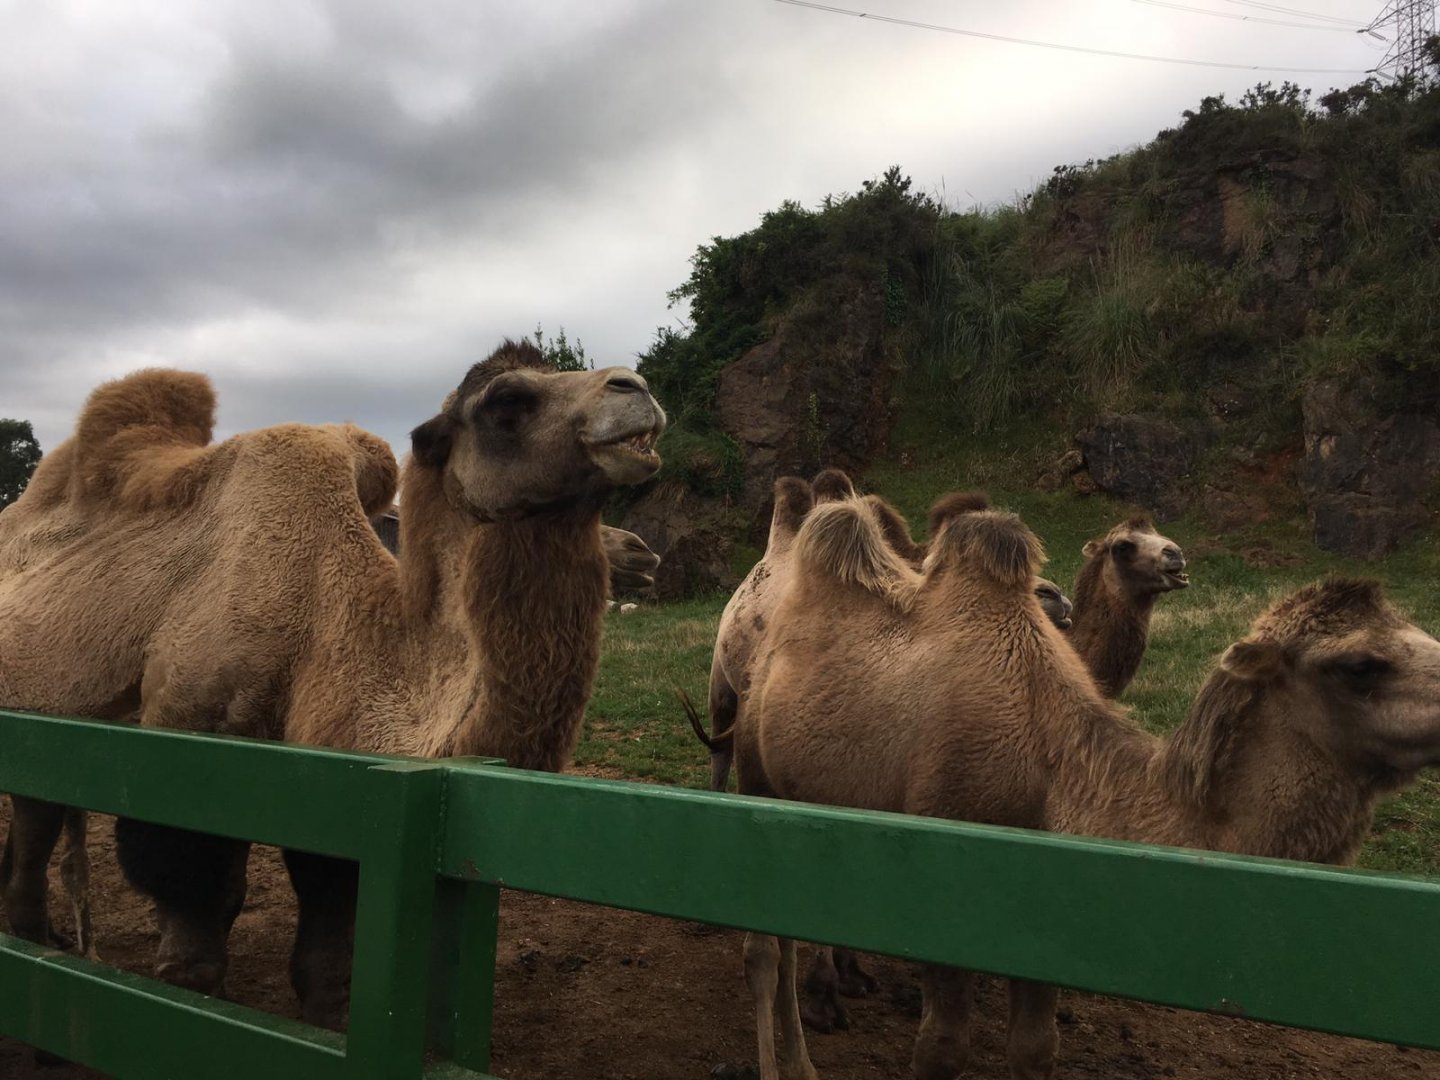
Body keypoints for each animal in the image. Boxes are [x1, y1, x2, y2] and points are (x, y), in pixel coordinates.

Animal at [0, 340, 665, 1026]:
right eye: (506, 400)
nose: (635, 386)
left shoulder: (341, 785)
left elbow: (327, 959)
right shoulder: (184, 740)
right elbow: (195, 930)